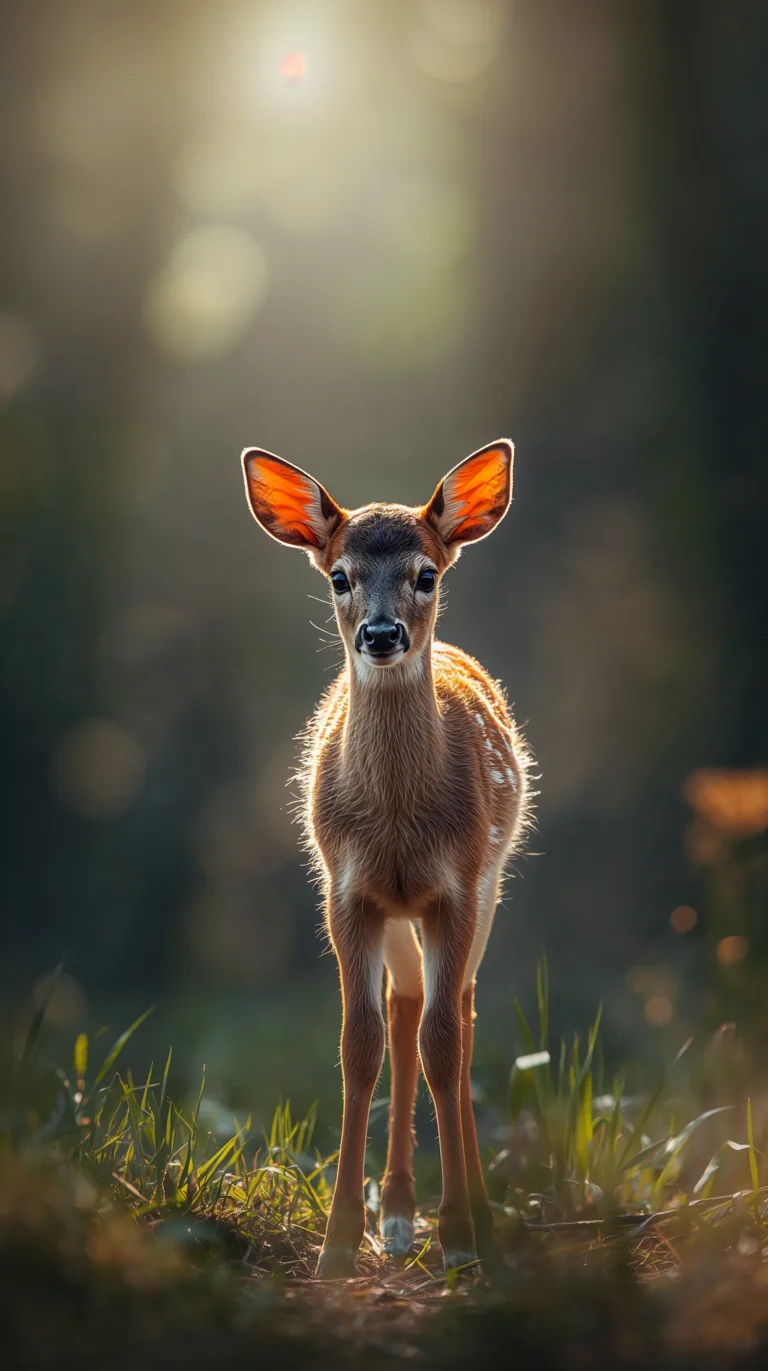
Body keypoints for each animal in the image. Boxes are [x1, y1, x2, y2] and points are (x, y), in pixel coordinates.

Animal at [240, 439, 532, 1279]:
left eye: (425, 573)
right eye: (339, 575)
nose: (379, 634)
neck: (400, 822)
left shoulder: (456, 885)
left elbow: (444, 1043)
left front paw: (464, 1234)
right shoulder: (348, 889)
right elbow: (358, 1045)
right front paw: (339, 1244)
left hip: (490, 883)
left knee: (456, 1015)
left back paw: (468, 1217)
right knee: (405, 1008)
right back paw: (398, 1213)